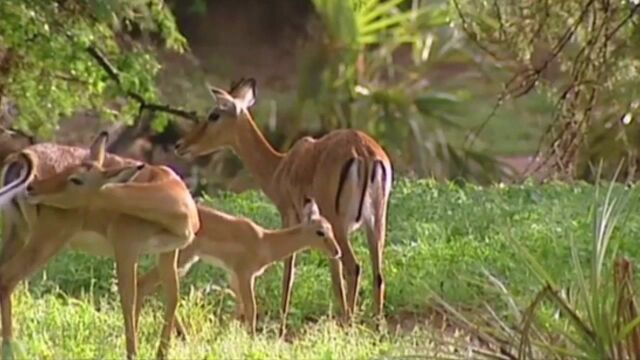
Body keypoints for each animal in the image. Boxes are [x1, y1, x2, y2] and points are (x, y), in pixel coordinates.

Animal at [0, 132, 198, 360]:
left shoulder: (168, 251)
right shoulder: (126, 247)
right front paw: (133, 354)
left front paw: (162, 354)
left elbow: (172, 298)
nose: (33, 187)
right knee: (7, 278)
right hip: (46, 240)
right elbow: (128, 300)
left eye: (76, 178)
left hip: (19, 235)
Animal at [136, 197, 340, 334]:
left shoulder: (234, 277)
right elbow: (251, 309)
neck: (265, 241)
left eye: (331, 228)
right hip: (182, 259)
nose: (337, 252)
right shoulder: (245, 275)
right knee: (145, 284)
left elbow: (239, 309)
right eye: (320, 232)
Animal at [175, 78, 392, 334]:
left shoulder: (291, 216)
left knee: (353, 267)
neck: (280, 167)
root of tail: (364, 153)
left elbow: (290, 271)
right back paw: (376, 327)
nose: (180, 144)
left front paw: (282, 324)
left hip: (340, 223)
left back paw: (350, 325)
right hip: (376, 223)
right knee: (377, 274)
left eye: (214, 114)